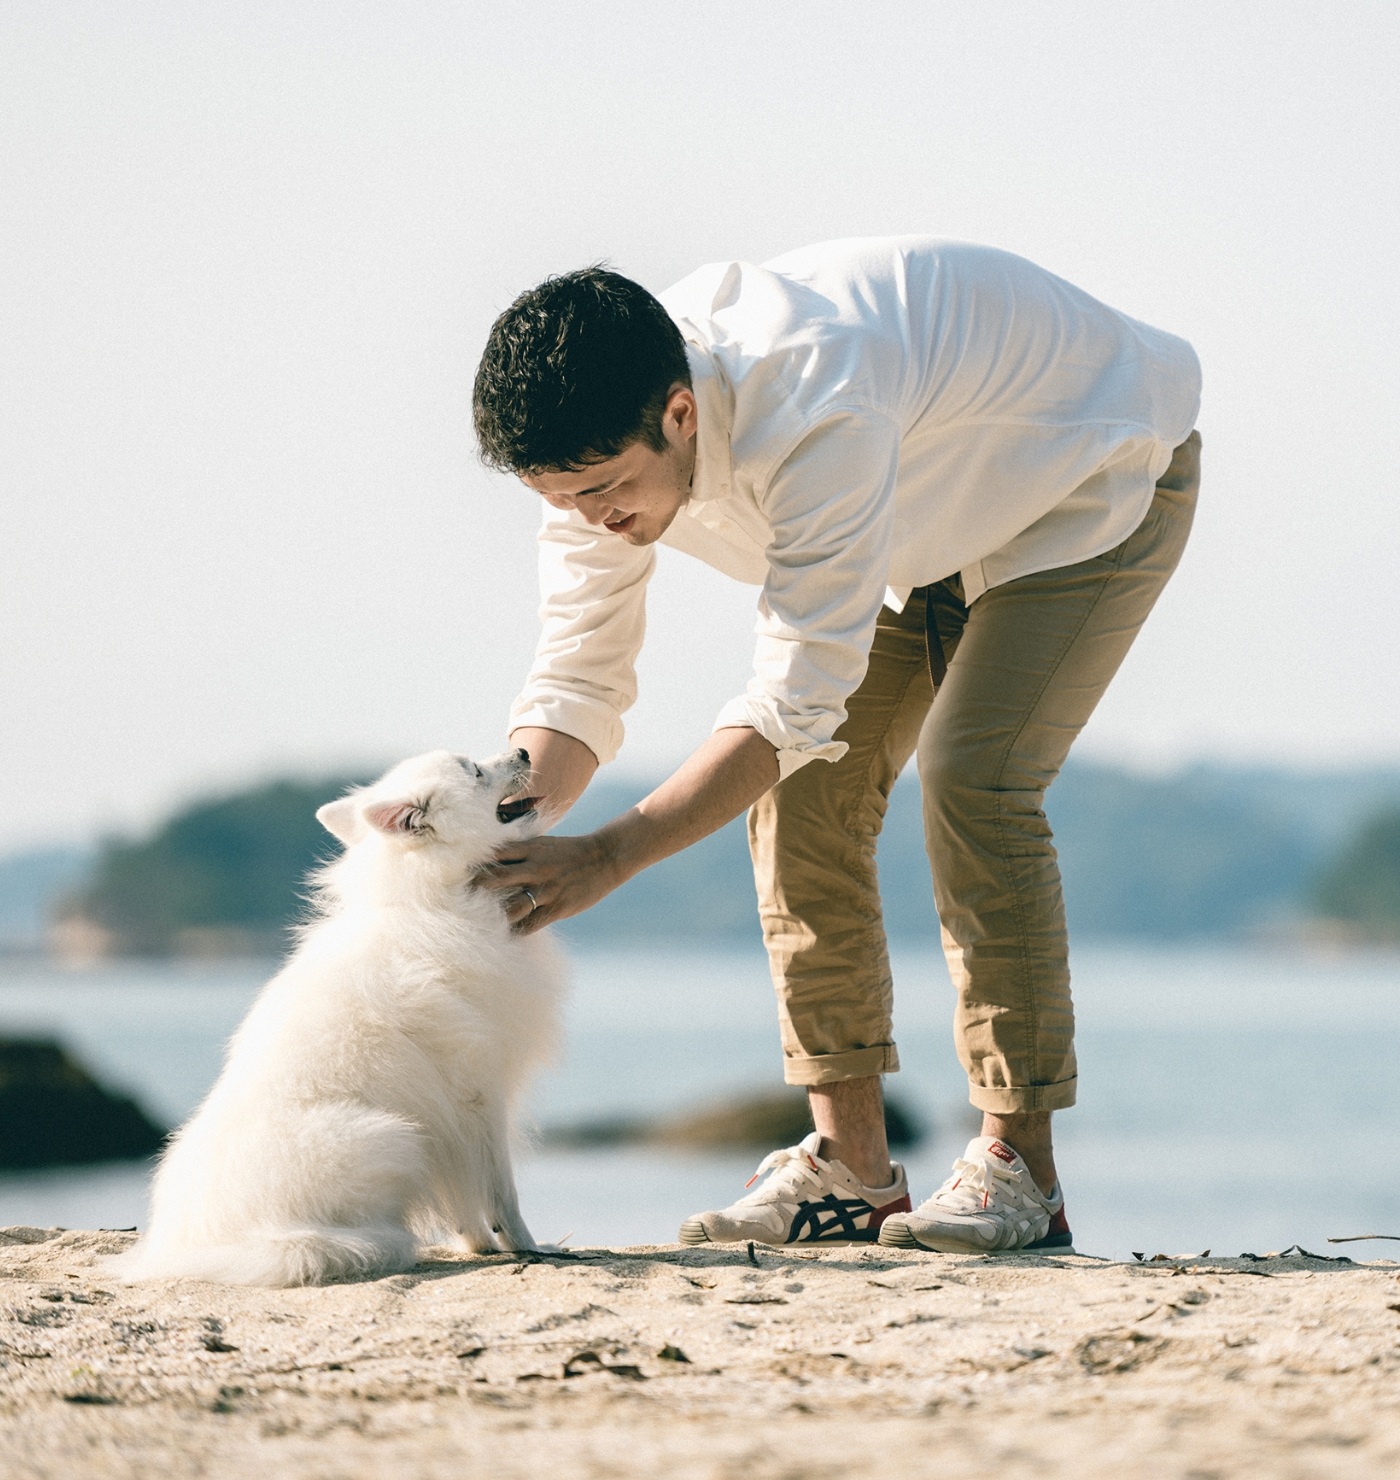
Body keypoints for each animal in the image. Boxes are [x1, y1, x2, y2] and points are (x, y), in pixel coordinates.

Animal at [111, 751, 562, 1284]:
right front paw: (527, 1245)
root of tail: (204, 1246)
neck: (431, 896)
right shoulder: (479, 1093)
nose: (525, 753)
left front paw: (479, 1244)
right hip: (391, 1137)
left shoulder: (454, 1118)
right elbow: (499, 1192)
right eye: (473, 770)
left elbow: (466, 1202)